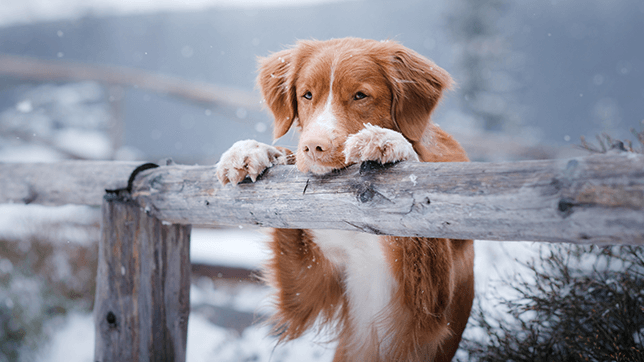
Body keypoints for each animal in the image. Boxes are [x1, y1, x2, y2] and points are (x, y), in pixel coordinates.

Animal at [216, 38, 472, 360]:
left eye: (360, 95)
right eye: (307, 95)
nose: (313, 147)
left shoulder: (425, 313)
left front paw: (387, 141)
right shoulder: (308, 284)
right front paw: (252, 150)